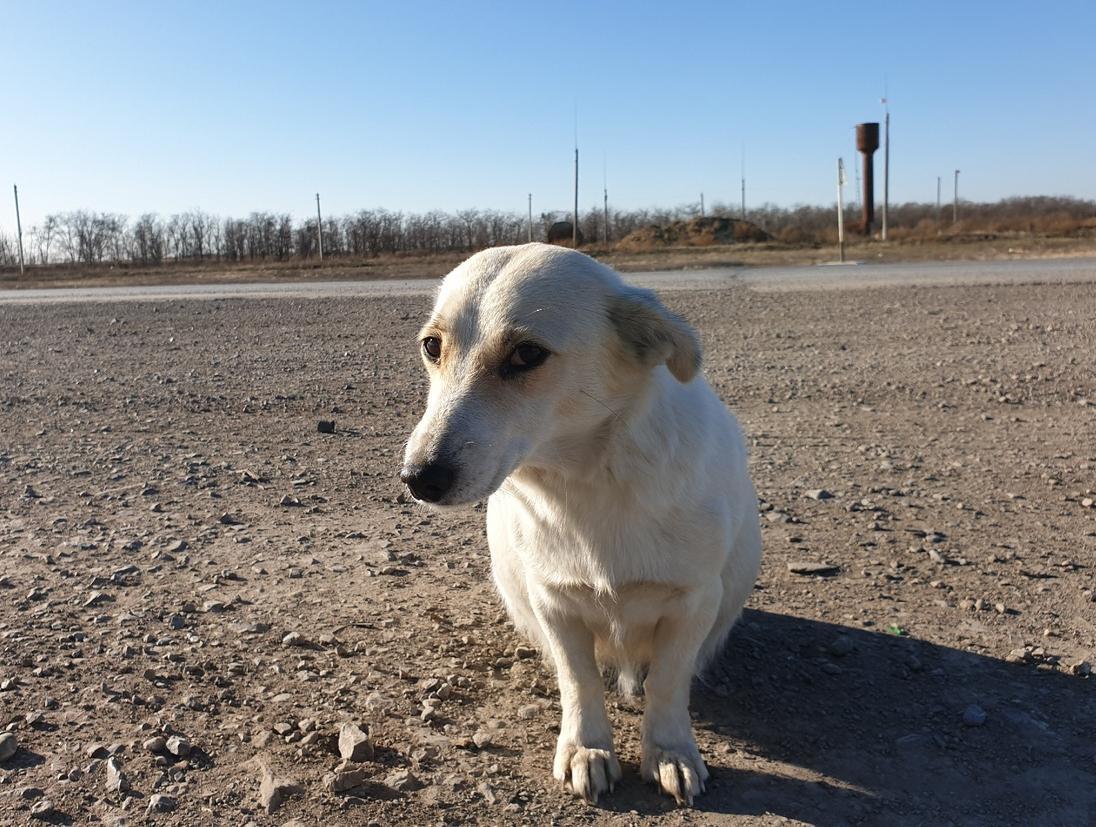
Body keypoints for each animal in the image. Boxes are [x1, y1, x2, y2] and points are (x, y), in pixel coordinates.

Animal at [401, 242, 762, 806]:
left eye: (527, 354)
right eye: (432, 346)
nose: (418, 478)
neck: (590, 482)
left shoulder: (693, 602)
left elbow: (667, 683)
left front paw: (670, 751)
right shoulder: (554, 601)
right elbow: (580, 680)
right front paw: (586, 749)